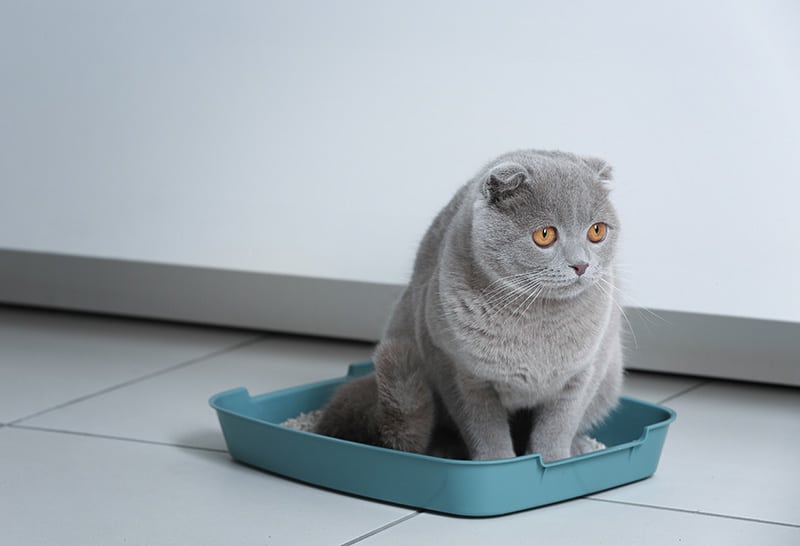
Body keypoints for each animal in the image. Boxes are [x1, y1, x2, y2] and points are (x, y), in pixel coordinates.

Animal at [314, 149, 624, 460]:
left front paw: (553, 460)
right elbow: (485, 429)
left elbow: (557, 427)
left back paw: (581, 446)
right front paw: (498, 463)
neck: (538, 318)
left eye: (597, 231)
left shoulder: (584, 374)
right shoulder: (458, 372)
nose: (581, 264)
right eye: (545, 235)